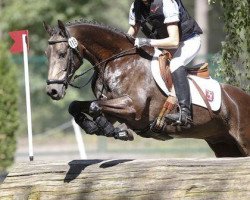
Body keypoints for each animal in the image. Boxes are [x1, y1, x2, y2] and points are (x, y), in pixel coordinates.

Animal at [43, 20, 250, 158]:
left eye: (62, 54)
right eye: (46, 54)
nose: (53, 91)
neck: (118, 61)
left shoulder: (133, 107)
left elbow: (94, 106)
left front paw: (114, 130)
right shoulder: (112, 105)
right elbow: (78, 106)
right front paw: (100, 128)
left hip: (243, 141)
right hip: (223, 144)